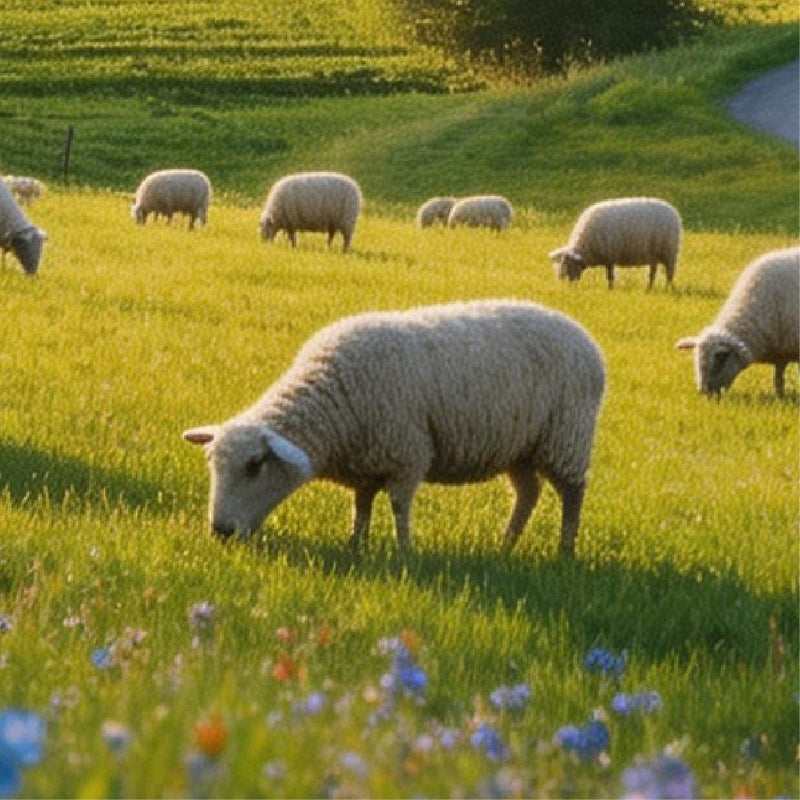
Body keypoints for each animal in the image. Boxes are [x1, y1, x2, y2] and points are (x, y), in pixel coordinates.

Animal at [182, 299, 606, 558]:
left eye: (255, 465)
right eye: (212, 463)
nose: (220, 530)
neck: (333, 393)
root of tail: (584, 336)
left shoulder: (406, 454)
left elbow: (399, 507)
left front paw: (404, 552)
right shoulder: (367, 460)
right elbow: (362, 506)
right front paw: (356, 544)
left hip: (567, 436)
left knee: (573, 492)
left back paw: (565, 550)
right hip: (520, 447)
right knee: (529, 492)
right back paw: (506, 545)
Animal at [549, 197, 682, 289]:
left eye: (569, 266)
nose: (569, 287)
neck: (586, 246)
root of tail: (673, 210)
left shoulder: (610, 256)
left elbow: (610, 276)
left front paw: (610, 289)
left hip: (669, 252)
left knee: (669, 273)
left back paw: (666, 288)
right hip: (654, 254)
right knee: (653, 273)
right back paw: (649, 288)